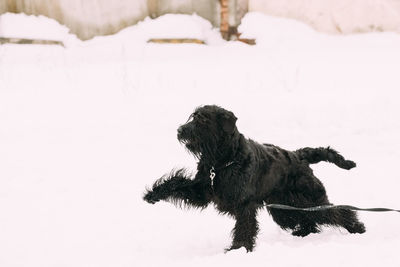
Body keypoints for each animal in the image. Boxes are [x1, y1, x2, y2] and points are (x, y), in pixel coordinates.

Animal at [144, 105, 366, 253]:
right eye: (193, 116)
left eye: (204, 120)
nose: (180, 130)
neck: (222, 161)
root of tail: (298, 155)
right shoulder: (201, 191)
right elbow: (176, 183)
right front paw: (153, 194)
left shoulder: (244, 204)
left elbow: (244, 227)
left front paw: (238, 249)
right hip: (283, 208)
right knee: (307, 219)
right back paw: (303, 233)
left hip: (308, 198)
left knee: (335, 211)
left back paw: (357, 228)